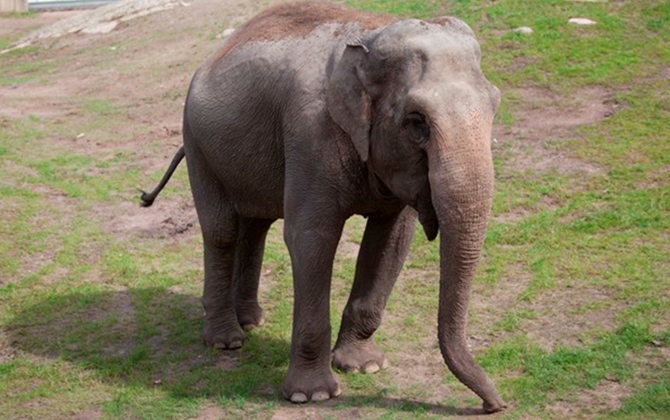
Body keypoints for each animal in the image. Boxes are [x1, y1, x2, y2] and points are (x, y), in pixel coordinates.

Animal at [139, 1, 505, 413]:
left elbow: (391, 241)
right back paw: (227, 340)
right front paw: (311, 394)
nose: (494, 405)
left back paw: (252, 321)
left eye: (495, 105)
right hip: (197, 142)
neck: (371, 36)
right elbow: (312, 239)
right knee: (221, 231)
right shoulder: (310, 134)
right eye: (416, 121)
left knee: (256, 226)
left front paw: (364, 366)